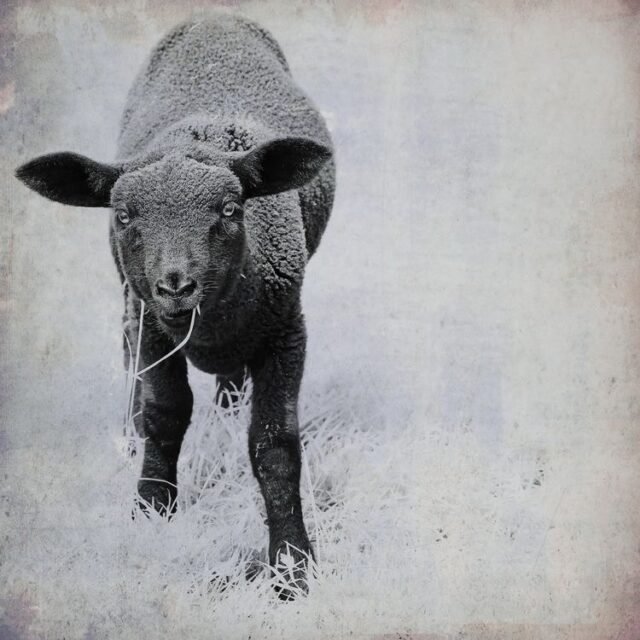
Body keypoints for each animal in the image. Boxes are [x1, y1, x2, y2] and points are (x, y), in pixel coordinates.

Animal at [15, 14, 335, 599]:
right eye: (123, 215)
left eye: (230, 209)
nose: (175, 285)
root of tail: (215, 16)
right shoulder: (152, 327)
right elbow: (165, 416)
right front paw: (150, 511)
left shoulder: (286, 331)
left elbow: (275, 447)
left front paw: (292, 566)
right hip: (130, 301)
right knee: (129, 367)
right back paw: (128, 433)